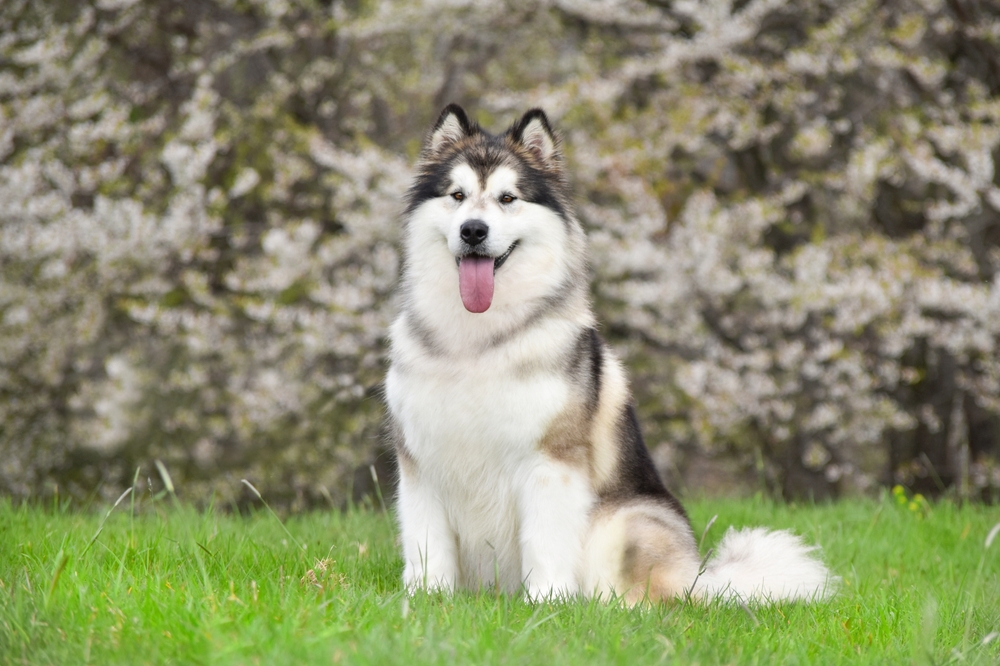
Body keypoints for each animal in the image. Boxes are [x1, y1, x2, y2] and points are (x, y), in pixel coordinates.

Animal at [382, 105, 836, 600]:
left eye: (507, 198)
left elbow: (544, 540)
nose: (473, 230)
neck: (479, 340)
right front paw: (426, 598)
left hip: (625, 521)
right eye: (457, 195)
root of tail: (700, 578)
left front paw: (547, 602)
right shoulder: (421, 463)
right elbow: (427, 543)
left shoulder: (550, 461)